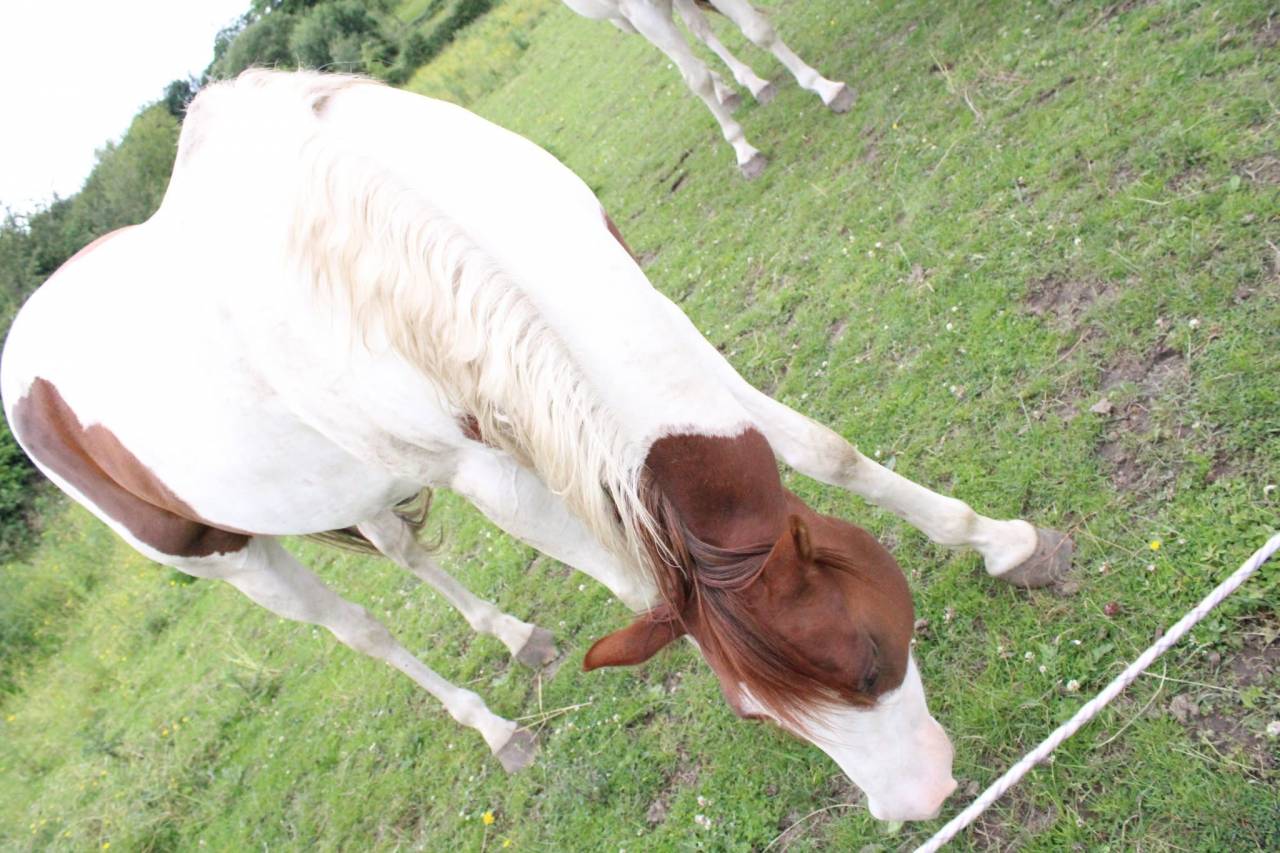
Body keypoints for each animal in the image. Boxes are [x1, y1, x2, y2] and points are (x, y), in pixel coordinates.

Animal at [0, 70, 1072, 822]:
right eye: (756, 715)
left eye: (869, 661)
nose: (917, 800)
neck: (371, 224)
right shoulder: (486, 469)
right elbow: (633, 578)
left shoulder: (640, 310)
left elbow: (821, 449)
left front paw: (1008, 544)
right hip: (234, 561)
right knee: (362, 631)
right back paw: (495, 727)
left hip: (353, 490)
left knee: (404, 551)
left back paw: (515, 635)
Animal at [561, 0, 855, 177]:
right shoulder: (640, 10)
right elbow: (697, 79)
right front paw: (744, 151)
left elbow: (758, 30)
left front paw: (826, 88)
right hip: (629, 20)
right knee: (687, 57)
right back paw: (725, 91)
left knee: (699, 29)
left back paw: (752, 84)